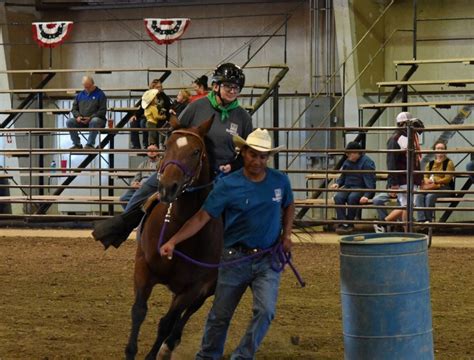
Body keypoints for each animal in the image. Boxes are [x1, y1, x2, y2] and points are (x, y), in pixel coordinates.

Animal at [125, 116, 223, 360]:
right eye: (167, 145)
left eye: (196, 151)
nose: (168, 187)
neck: (178, 227)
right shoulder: (143, 266)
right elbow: (138, 311)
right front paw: (130, 352)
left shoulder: (194, 287)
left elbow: (167, 322)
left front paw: (155, 353)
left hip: (210, 286)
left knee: (187, 314)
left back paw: (169, 345)